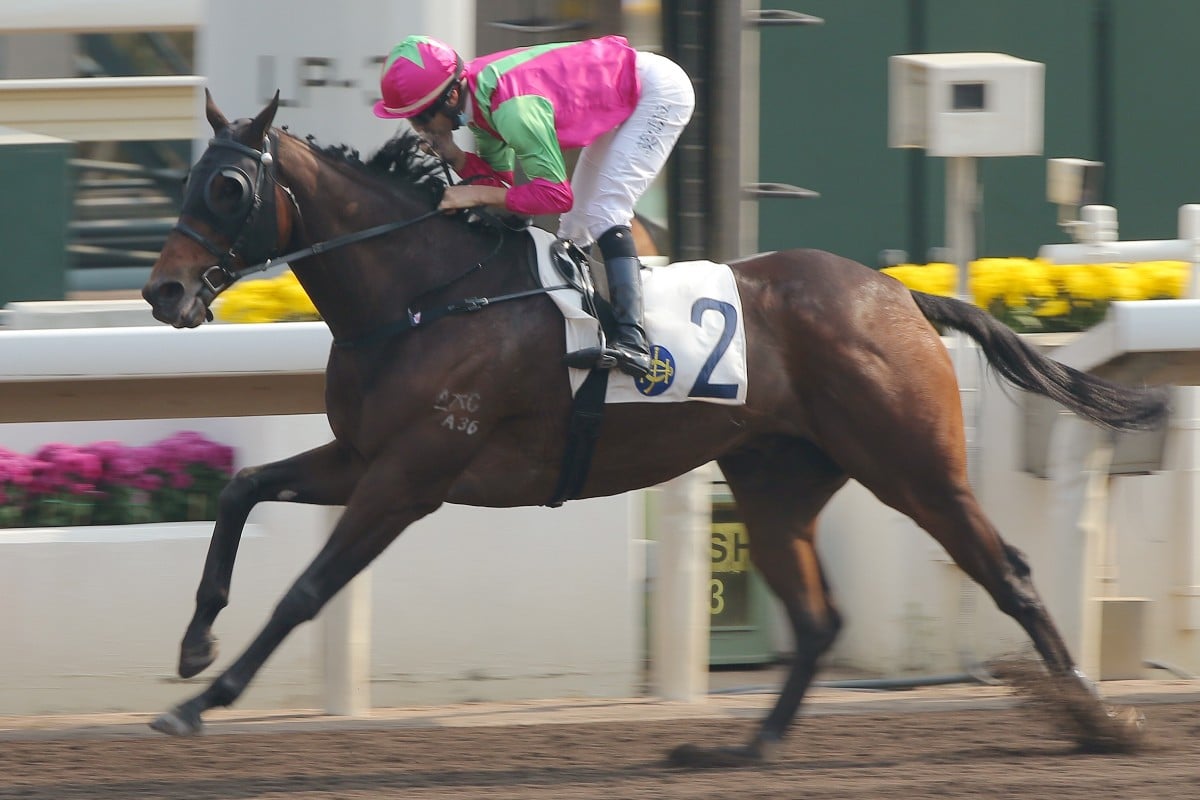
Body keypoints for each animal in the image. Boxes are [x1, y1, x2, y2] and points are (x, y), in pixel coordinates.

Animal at [140, 92, 1161, 762]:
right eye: (189, 178)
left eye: (228, 188)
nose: (163, 292)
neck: (425, 293)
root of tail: (899, 293)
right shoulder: (363, 456)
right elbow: (241, 491)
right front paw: (193, 645)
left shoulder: (412, 474)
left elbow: (306, 590)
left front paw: (202, 703)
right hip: (777, 477)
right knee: (818, 617)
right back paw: (744, 749)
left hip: (913, 466)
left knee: (1009, 575)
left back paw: (1099, 720)